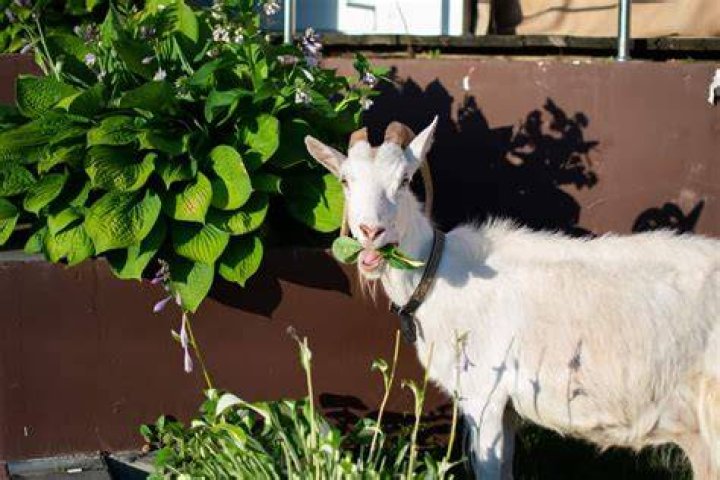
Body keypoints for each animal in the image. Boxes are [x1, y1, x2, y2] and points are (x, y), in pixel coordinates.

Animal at [305, 117, 720, 479]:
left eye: (405, 180)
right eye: (345, 180)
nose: (370, 231)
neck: (439, 276)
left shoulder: (485, 395)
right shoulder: (506, 410)